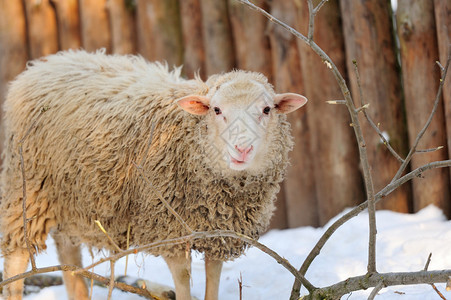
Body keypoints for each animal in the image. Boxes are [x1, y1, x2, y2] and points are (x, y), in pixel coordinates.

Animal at [0, 49, 308, 300]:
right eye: (217, 110)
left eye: (266, 109)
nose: (242, 149)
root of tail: (45, 64)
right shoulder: (169, 228)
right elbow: (183, 281)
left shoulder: (217, 231)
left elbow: (213, 278)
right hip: (27, 191)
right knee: (17, 258)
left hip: (71, 200)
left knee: (68, 256)